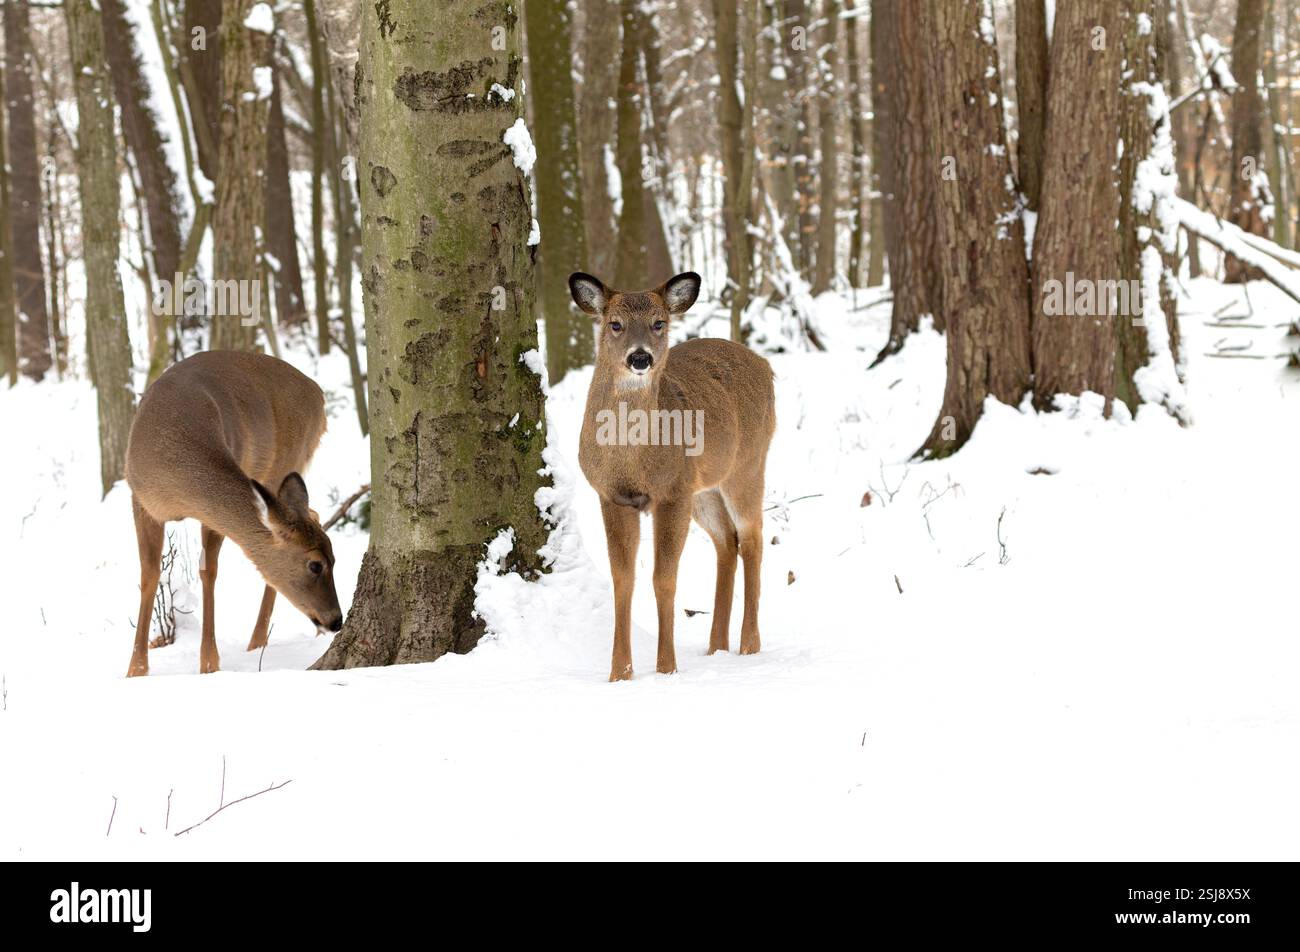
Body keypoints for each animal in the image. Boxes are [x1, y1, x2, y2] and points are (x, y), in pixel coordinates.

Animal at [123, 351, 343, 677]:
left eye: (334, 561)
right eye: (316, 565)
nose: (337, 620)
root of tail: (317, 391)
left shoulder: (211, 513)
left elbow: (208, 572)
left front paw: (209, 664)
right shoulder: (141, 500)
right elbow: (149, 575)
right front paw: (136, 669)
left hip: (287, 459)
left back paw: (259, 640)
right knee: (313, 511)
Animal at [570, 271, 776, 681]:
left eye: (659, 323)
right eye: (614, 323)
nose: (640, 357)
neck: (632, 457)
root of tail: (766, 365)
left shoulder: (671, 493)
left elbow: (664, 579)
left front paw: (666, 668)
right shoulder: (613, 495)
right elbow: (622, 579)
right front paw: (620, 673)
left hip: (747, 464)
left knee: (753, 538)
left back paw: (749, 645)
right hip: (703, 488)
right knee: (727, 541)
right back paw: (716, 647)